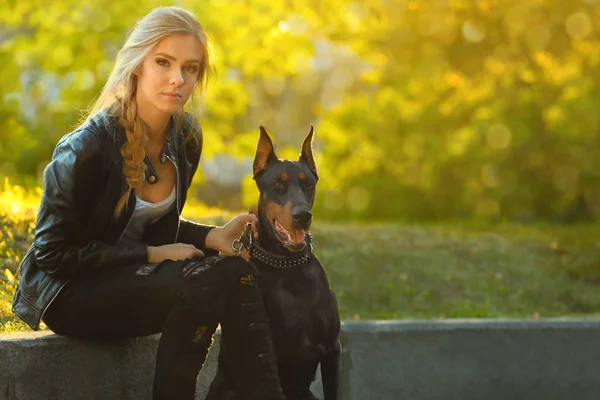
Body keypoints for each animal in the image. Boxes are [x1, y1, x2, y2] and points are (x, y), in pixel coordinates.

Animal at [206, 126, 340, 398]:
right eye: (278, 184)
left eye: (308, 184)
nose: (302, 216)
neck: (287, 267)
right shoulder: (267, 351)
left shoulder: (332, 349)